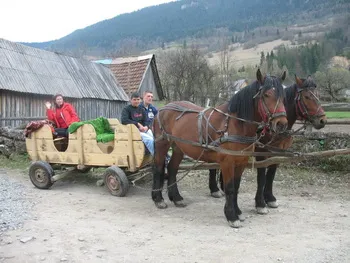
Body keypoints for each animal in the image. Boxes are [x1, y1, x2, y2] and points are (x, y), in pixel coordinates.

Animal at [152, 69, 288, 228]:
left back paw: (177, 198)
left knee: (172, 168)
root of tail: (163, 108)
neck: (234, 124)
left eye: (283, 96)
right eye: (266, 95)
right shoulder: (227, 162)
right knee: (158, 168)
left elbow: (236, 187)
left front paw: (238, 212)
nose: (281, 124)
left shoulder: (241, 162)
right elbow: (229, 188)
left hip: (179, 147)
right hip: (162, 144)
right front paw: (231, 216)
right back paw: (158, 199)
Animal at [254, 74, 326, 214]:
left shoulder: (278, 154)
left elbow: (271, 175)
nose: (322, 120)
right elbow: (261, 178)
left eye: (318, 95)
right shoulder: (260, 154)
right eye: (307, 97)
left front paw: (270, 198)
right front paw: (260, 203)